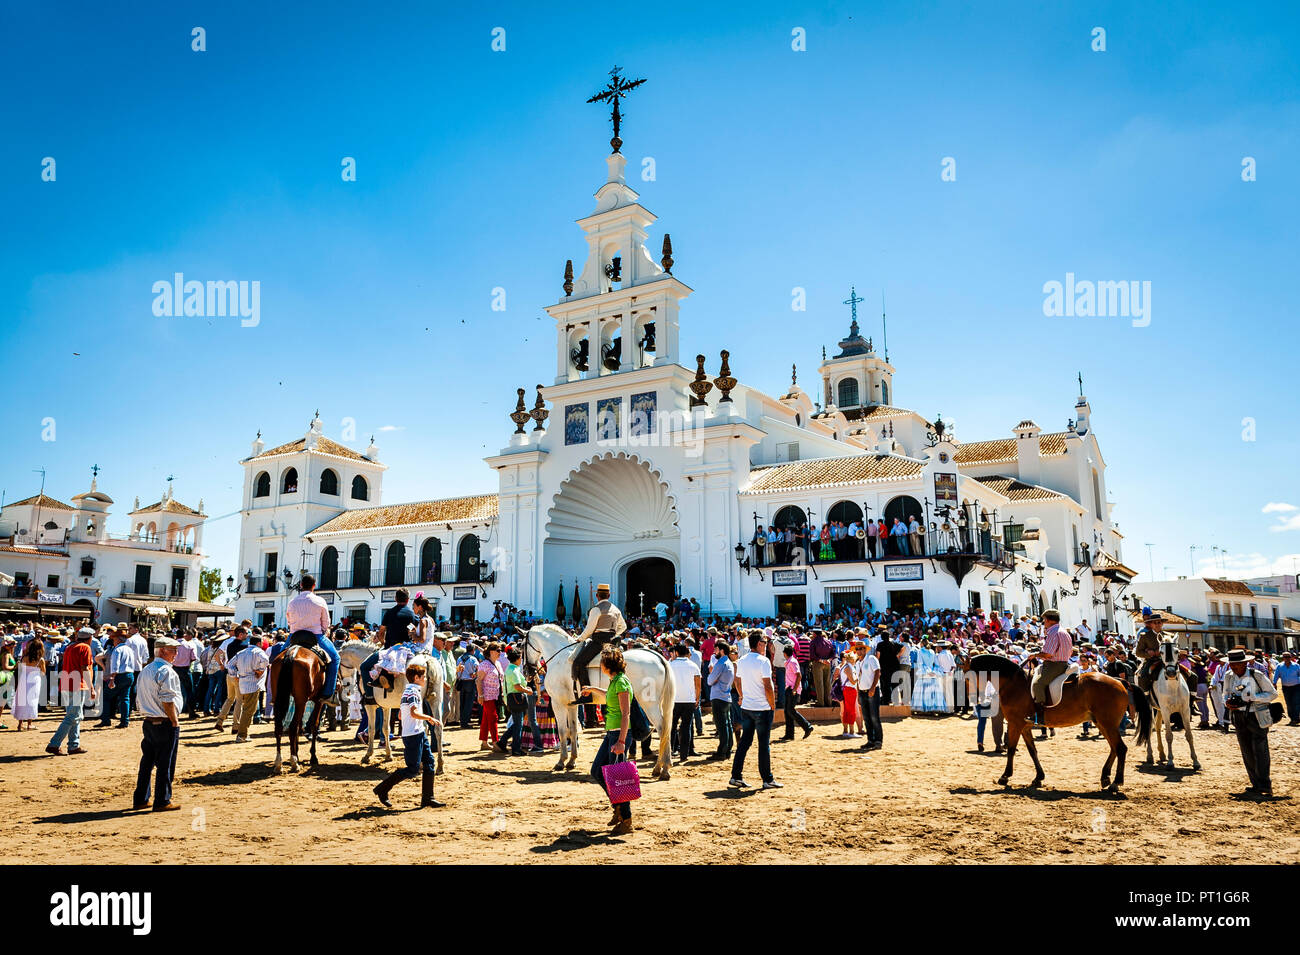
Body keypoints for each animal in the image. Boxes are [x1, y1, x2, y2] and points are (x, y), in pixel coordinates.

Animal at [520, 623, 681, 779]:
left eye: (522, 646)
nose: (527, 672)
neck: (559, 657)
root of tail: (657, 656)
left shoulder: (558, 703)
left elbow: (562, 731)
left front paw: (561, 761)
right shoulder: (571, 705)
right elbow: (573, 730)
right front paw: (572, 760)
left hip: (649, 704)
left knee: (662, 729)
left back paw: (663, 768)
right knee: (666, 728)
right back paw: (661, 767)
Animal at [961, 657, 1154, 789]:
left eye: (967, 677)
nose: (971, 699)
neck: (1013, 684)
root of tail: (1120, 681)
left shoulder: (1015, 724)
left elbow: (1011, 750)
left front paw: (1005, 776)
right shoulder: (1025, 726)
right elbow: (1032, 751)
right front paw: (1038, 777)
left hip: (1107, 724)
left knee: (1120, 748)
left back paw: (1115, 782)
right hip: (1103, 723)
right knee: (1114, 748)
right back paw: (1105, 777)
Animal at [1144, 639, 1201, 774]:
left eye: (1177, 651)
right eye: (1161, 652)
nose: (1171, 672)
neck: (1173, 687)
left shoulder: (1185, 710)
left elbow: (1189, 735)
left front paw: (1195, 762)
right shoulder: (1166, 711)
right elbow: (1169, 736)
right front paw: (1170, 762)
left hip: (1159, 710)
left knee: (1158, 726)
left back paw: (1162, 754)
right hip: (1150, 708)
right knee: (1149, 727)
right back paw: (1150, 756)